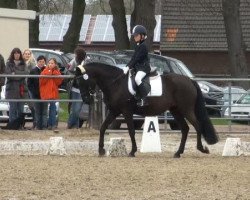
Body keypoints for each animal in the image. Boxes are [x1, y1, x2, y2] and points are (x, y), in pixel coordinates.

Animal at [75, 62, 218, 158]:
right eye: (77, 82)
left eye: (82, 81)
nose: (86, 99)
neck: (115, 83)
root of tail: (189, 81)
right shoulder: (115, 111)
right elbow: (103, 127)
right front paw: (101, 150)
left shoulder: (126, 111)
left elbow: (131, 131)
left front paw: (132, 151)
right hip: (176, 111)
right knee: (185, 128)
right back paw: (178, 153)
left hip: (186, 109)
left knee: (197, 126)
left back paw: (202, 149)